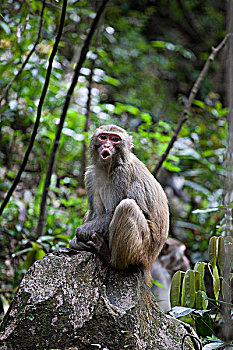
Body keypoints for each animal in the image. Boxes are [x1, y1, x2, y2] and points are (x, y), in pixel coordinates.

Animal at [69, 124, 169, 284]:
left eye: (115, 139)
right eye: (103, 137)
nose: (107, 146)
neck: (109, 167)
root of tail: (150, 262)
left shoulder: (122, 174)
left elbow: (112, 213)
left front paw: (80, 232)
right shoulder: (91, 175)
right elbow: (95, 213)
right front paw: (78, 241)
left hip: (143, 249)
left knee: (126, 207)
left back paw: (111, 258)